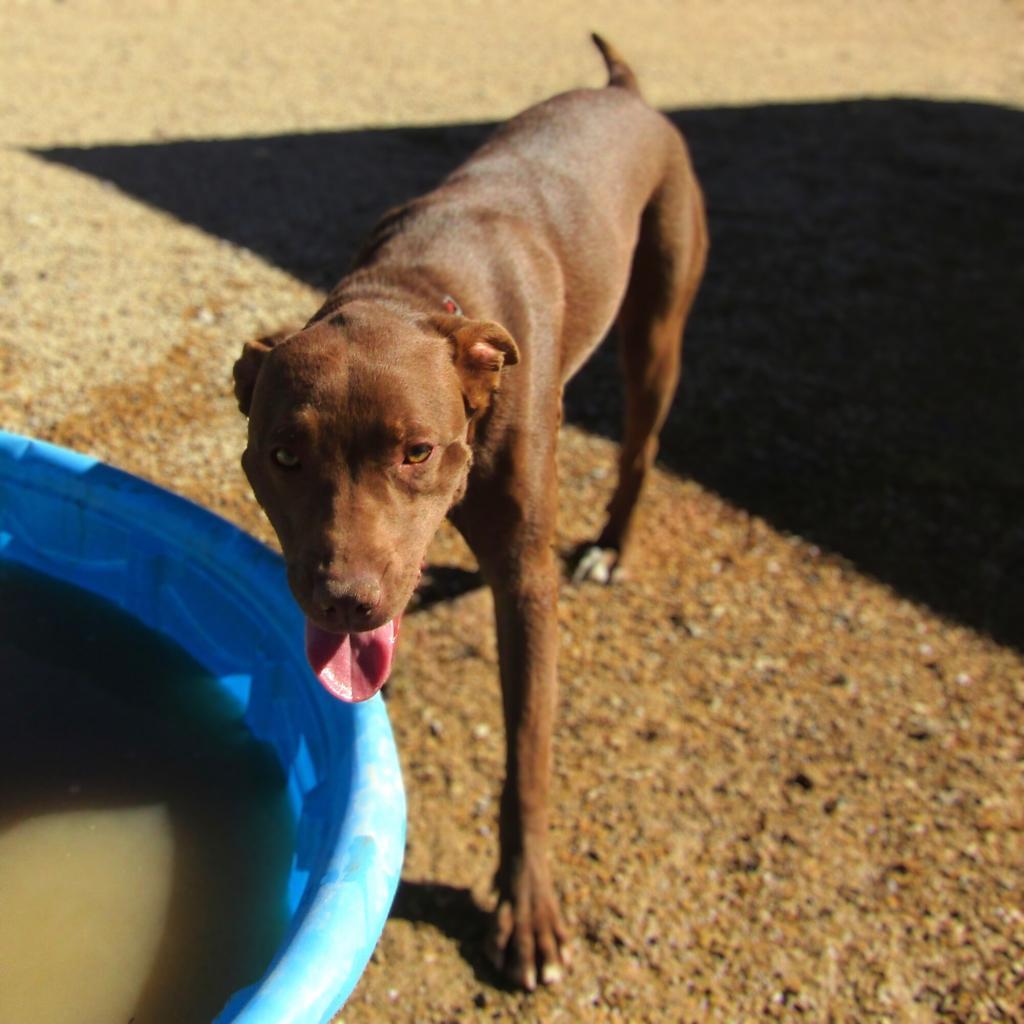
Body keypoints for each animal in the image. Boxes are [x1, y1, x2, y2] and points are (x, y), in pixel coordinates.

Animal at [235, 36, 708, 987]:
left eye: (416, 451)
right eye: (283, 457)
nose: (346, 601)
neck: (413, 289)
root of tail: (624, 93)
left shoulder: (525, 580)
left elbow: (527, 749)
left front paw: (525, 911)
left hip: (656, 329)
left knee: (641, 445)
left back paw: (610, 546)